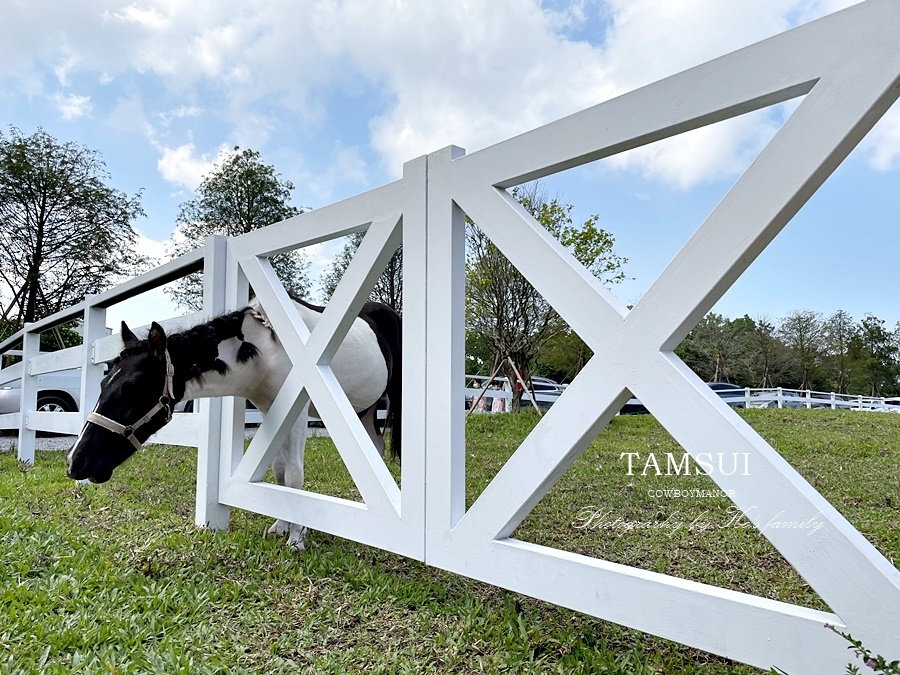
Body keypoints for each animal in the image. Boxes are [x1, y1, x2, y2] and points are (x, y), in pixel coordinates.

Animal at [64, 298, 400, 552]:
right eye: (104, 382)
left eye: (132, 388)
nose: (75, 461)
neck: (268, 351)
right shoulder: (272, 411)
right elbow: (279, 471)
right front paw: (280, 526)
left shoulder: (298, 413)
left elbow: (293, 475)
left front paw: (296, 539)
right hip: (363, 408)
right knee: (376, 445)